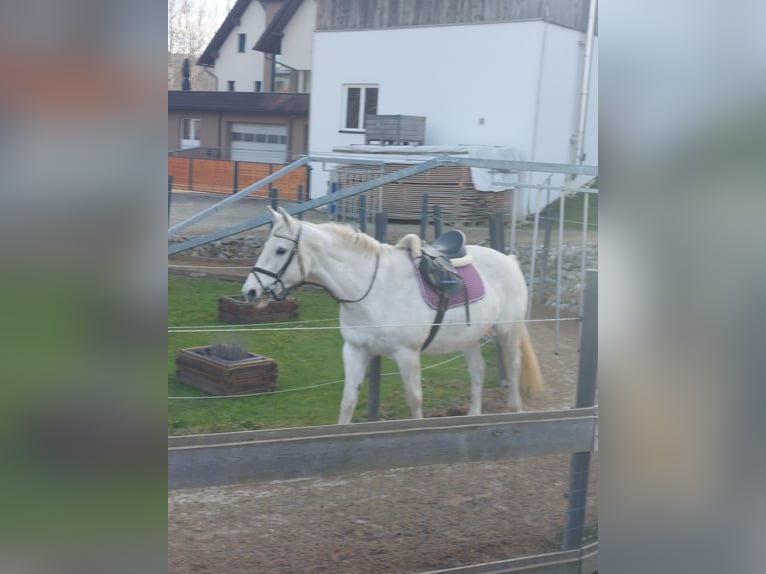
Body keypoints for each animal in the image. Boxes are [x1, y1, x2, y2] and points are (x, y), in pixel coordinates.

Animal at [243, 207, 544, 424]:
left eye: (280, 250)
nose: (250, 291)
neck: (372, 286)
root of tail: (510, 259)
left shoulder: (407, 354)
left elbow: (414, 399)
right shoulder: (355, 350)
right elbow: (348, 401)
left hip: (508, 330)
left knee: (514, 365)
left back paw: (515, 409)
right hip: (470, 337)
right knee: (478, 371)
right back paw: (473, 415)